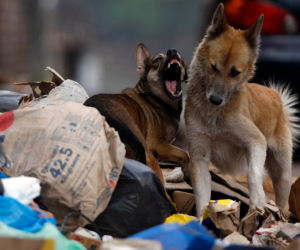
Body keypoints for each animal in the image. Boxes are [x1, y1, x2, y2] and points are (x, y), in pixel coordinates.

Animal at [83, 43, 189, 192]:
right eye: (157, 60)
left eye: (181, 61)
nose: (172, 51)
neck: (155, 99)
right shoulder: (156, 144)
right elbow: (185, 154)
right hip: (148, 156)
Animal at [168, 3, 298, 218]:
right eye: (213, 67)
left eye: (235, 72)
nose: (215, 100)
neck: (215, 116)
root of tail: (276, 97)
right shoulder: (200, 156)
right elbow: (202, 197)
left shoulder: (255, 141)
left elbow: (254, 173)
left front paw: (258, 202)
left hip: (282, 172)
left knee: (280, 195)